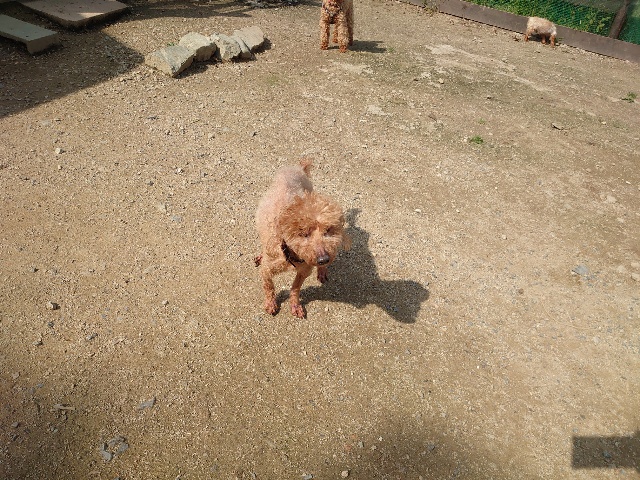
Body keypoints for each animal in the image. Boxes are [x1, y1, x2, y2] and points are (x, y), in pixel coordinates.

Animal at [255, 160, 350, 318]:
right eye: (304, 233)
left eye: (328, 230)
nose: (323, 259)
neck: (291, 255)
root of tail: (298, 167)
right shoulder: (267, 270)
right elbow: (268, 286)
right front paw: (270, 304)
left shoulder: (304, 271)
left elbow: (295, 288)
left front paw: (295, 305)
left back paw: (322, 270)